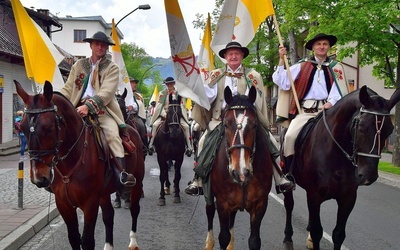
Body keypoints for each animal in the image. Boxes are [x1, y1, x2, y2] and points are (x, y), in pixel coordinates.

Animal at [16, 80, 147, 250]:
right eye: (22, 127)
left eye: (48, 127)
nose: (39, 177)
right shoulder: (63, 204)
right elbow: (73, 238)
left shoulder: (90, 204)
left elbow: (87, 241)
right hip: (104, 193)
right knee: (108, 216)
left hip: (136, 183)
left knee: (134, 209)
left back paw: (133, 242)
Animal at [205, 86, 274, 250]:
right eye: (225, 124)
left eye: (254, 125)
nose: (240, 172)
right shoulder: (222, 203)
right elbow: (223, 237)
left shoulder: (260, 205)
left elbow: (254, 241)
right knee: (209, 211)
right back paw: (209, 243)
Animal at [280, 85, 400, 249]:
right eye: (361, 127)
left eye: (389, 129)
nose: (369, 176)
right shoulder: (314, 195)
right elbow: (317, 232)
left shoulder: (348, 198)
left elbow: (338, 234)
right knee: (289, 205)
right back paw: (287, 237)